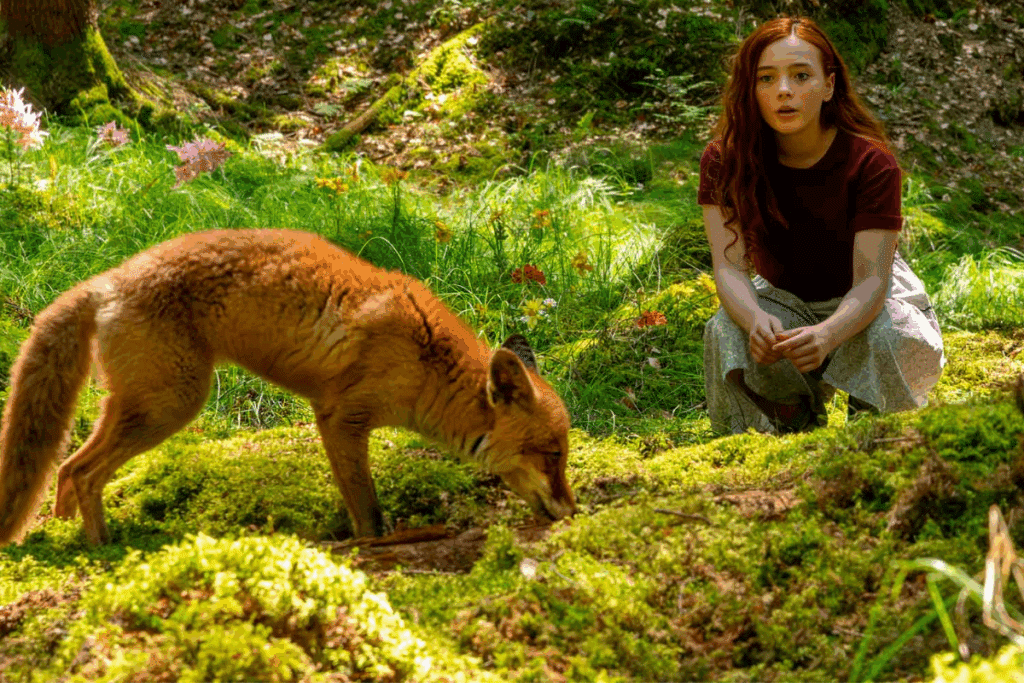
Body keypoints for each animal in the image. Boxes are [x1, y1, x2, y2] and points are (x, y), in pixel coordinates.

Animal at [0, 228, 576, 545]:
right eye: (551, 454)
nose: (573, 513)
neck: (428, 362)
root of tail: (106, 280)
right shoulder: (341, 417)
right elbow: (369, 515)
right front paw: (373, 551)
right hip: (171, 405)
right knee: (83, 472)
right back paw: (103, 549)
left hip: (141, 404)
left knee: (65, 471)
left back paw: (63, 534)